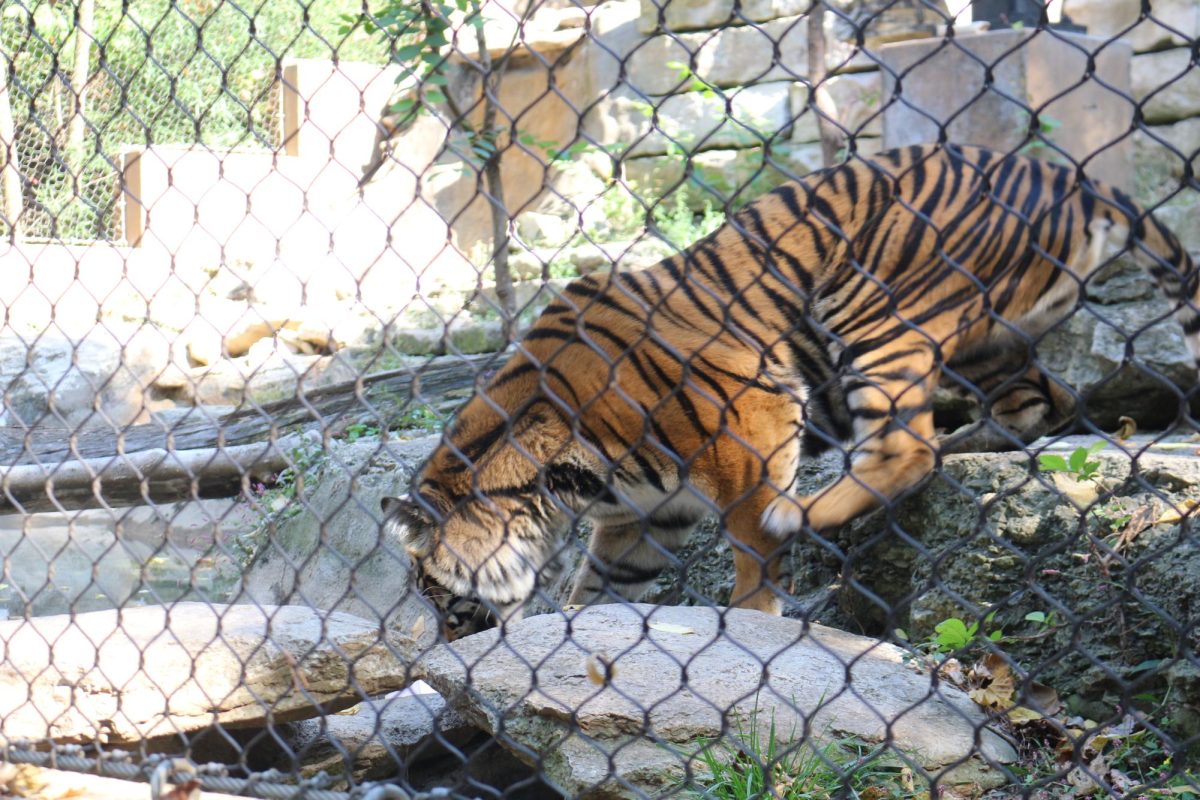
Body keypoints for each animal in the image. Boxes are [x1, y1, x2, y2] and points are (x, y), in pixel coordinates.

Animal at [381, 142, 1200, 633]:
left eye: (438, 594)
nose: (450, 640)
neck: (557, 482)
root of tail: (1072, 176)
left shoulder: (753, 421)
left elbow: (750, 547)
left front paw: (754, 616)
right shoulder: (646, 517)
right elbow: (604, 583)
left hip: (875, 306)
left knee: (906, 451)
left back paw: (809, 510)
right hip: (990, 338)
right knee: (1036, 402)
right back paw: (974, 441)